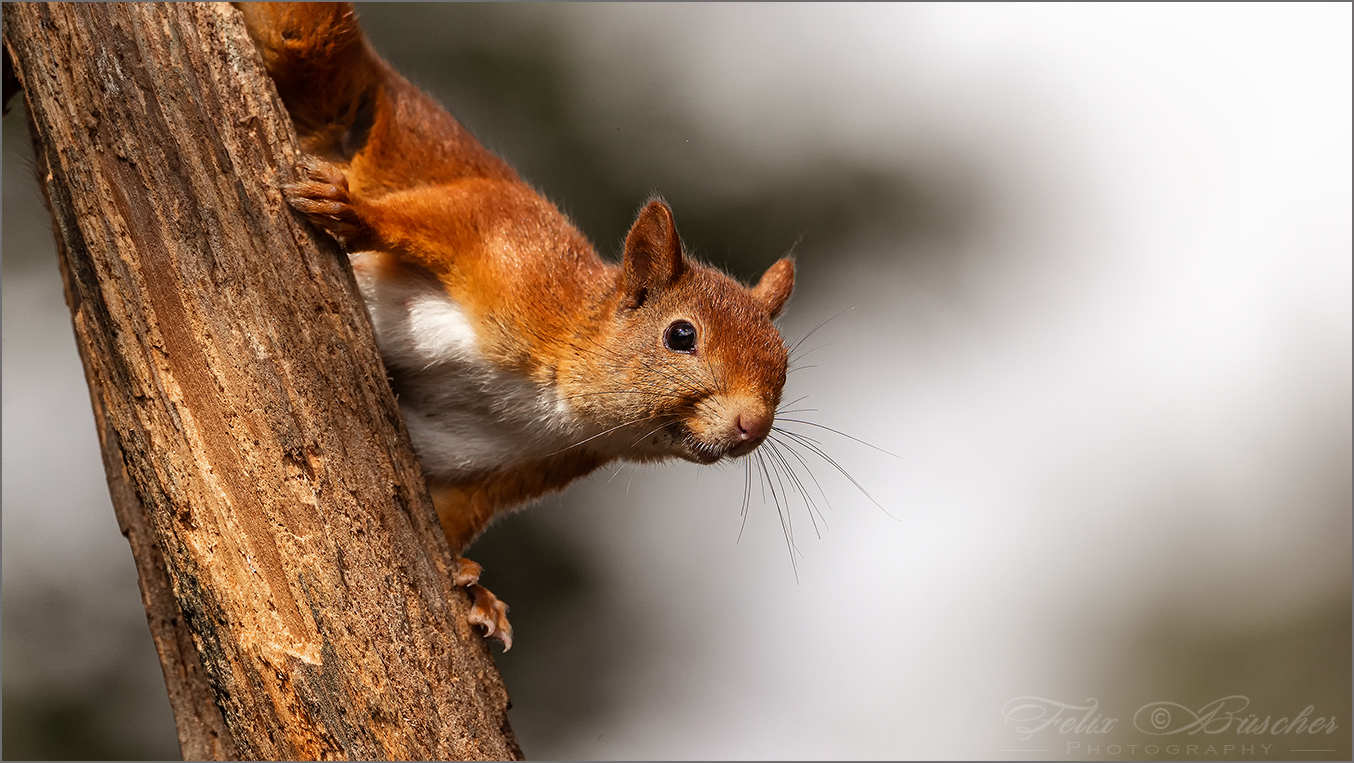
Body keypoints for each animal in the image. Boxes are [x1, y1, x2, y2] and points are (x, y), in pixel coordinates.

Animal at [241, 5, 790, 649]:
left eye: (784, 366)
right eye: (681, 335)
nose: (753, 426)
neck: (559, 393)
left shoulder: (504, 468)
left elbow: (450, 516)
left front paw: (477, 591)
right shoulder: (507, 241)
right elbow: (446, 215)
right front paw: (359, 214)